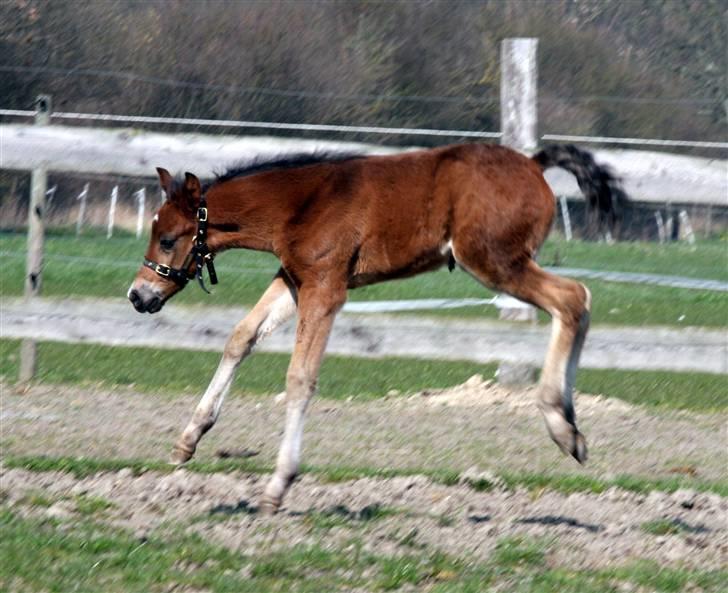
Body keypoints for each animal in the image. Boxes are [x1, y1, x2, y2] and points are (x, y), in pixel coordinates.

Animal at [126, 143, 624, 512]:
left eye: (167, 239)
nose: (138, 295)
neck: (302, 204)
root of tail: (533, 164)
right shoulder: (293, 280)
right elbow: (241, 338)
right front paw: (188, 440)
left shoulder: (326, 288)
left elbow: (300, 377)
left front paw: (277, 485)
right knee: (577, 303)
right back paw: (570, 426)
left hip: (494, 260)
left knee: (574, 299)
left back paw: (562, 425)